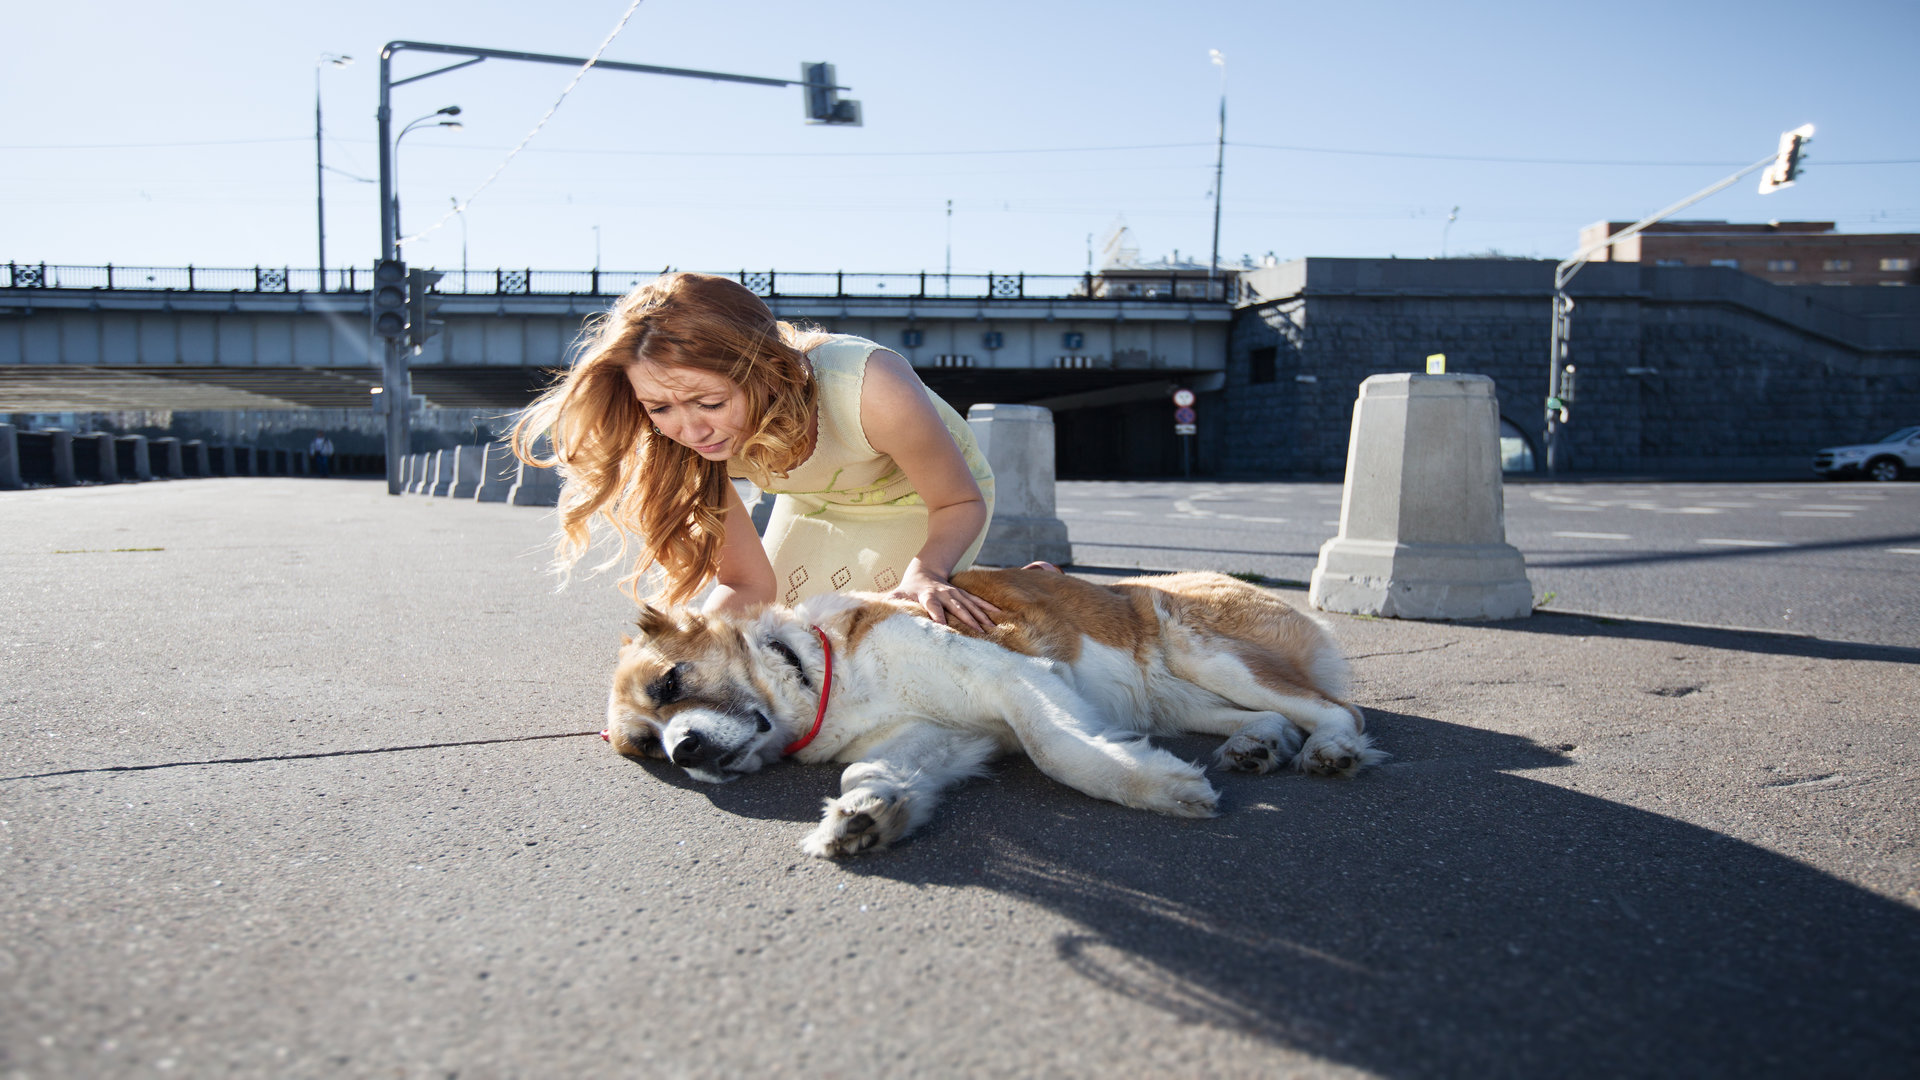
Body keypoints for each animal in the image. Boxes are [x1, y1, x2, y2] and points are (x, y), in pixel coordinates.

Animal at [606, 568, 1374, 853]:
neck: (823, 672)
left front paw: (1158, 789)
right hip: (1175, 698)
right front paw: (864, 814)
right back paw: (1258, 745)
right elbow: (871, 773)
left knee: (1337, 710)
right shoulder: (940, 736)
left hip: (1205, 653)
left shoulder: (1013, 676)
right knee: (1269, 718)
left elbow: (1057, 751)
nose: (684, 751)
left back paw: (1330, 750)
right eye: (646, 748)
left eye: (671, 683)